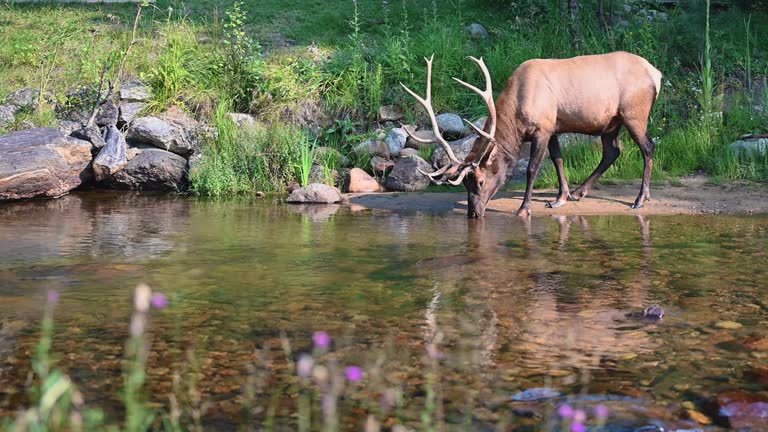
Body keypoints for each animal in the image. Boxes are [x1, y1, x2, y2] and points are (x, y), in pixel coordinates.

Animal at [402, 52, 660, 218]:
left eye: (480, 181)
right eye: (465, 184)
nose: (473, 213)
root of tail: (656, 74)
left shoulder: (542, 129)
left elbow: (532, 168)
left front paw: (524, 208)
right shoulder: (554, 127)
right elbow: (557, 159)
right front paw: (561, 197)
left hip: (634, 113)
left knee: (648, 147)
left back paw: (640, 200)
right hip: (610, 123)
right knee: (612, 151)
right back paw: (579, 192)